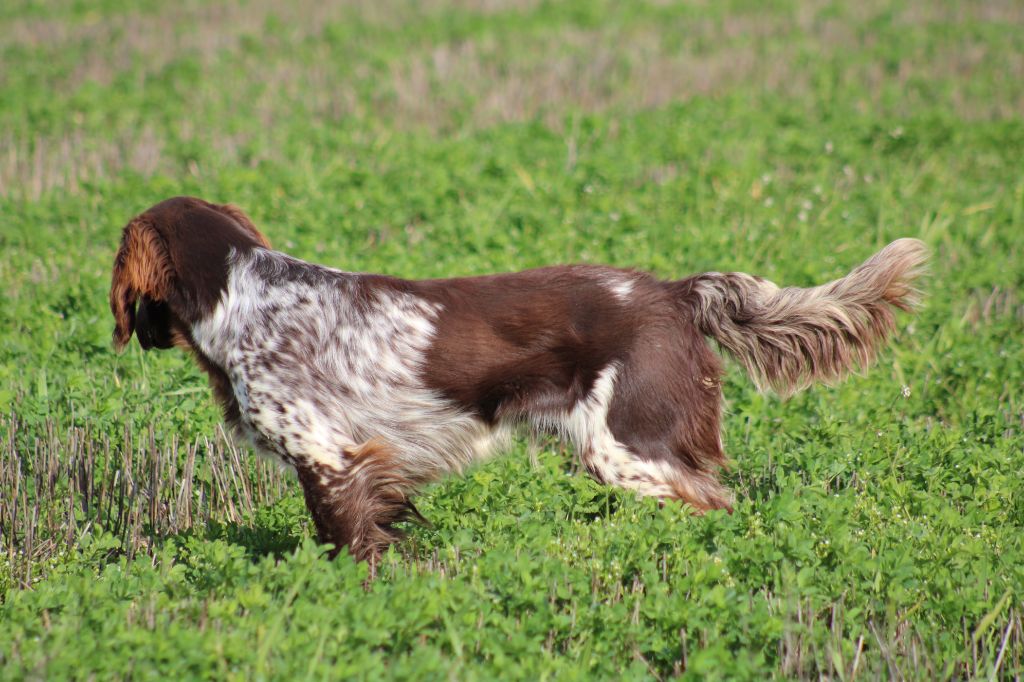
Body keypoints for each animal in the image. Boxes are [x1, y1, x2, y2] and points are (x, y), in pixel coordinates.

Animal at [110, 193, 929, 561]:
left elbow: (352, 543)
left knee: (713, 504)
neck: (242, 295)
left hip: (627, 447)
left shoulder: (329, 458)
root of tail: (673, 293)